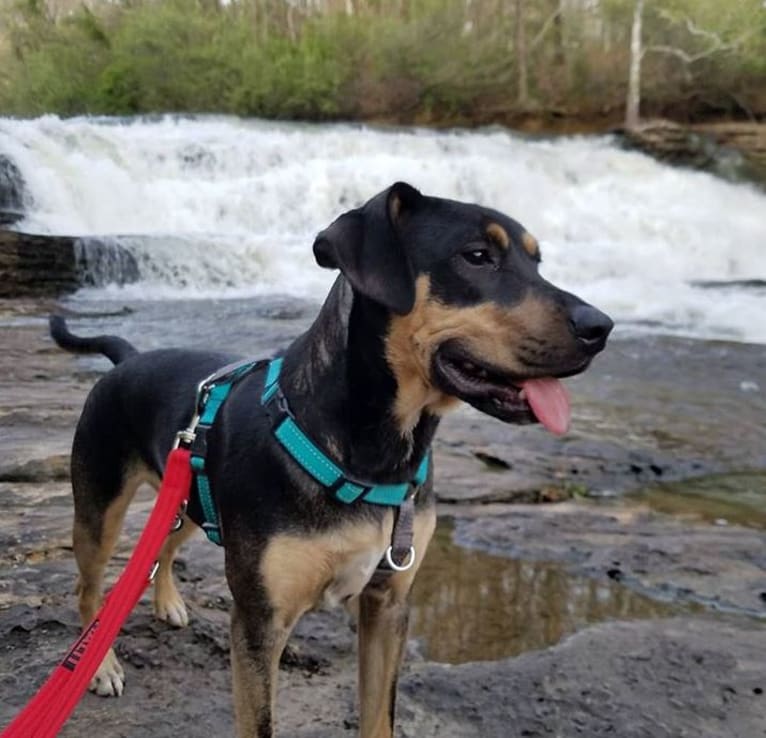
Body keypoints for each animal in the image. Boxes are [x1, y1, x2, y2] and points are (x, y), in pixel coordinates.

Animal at [49, 180, 612, 736]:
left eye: (537, 261)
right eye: (477, 256)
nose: (601, 327)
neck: (375, 453)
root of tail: (128, 358)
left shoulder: (388, 604)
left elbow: (378, 718)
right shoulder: (259, 622)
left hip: (188, 496)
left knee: (164, 547)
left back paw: (168, 601)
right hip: (99, 508)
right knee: (87, 586)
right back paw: (100, 666)